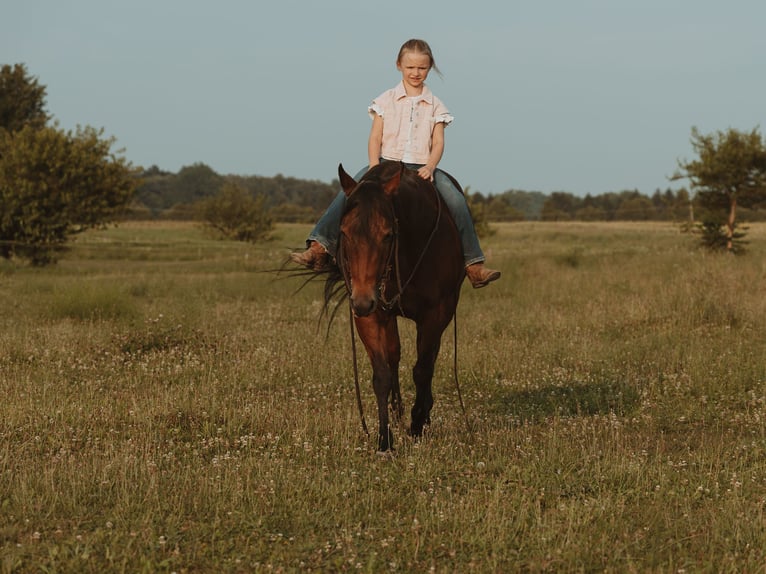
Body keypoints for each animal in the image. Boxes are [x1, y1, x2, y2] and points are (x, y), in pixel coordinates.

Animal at [333, 161, 465, 451]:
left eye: (387, 234)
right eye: (344, 232)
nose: (362, 300)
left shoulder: (435, 315)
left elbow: (422, 370)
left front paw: (417, 425)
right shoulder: (372, 315)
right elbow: (382, 373)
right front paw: (384, 440)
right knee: (394, 356)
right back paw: (397, 410)